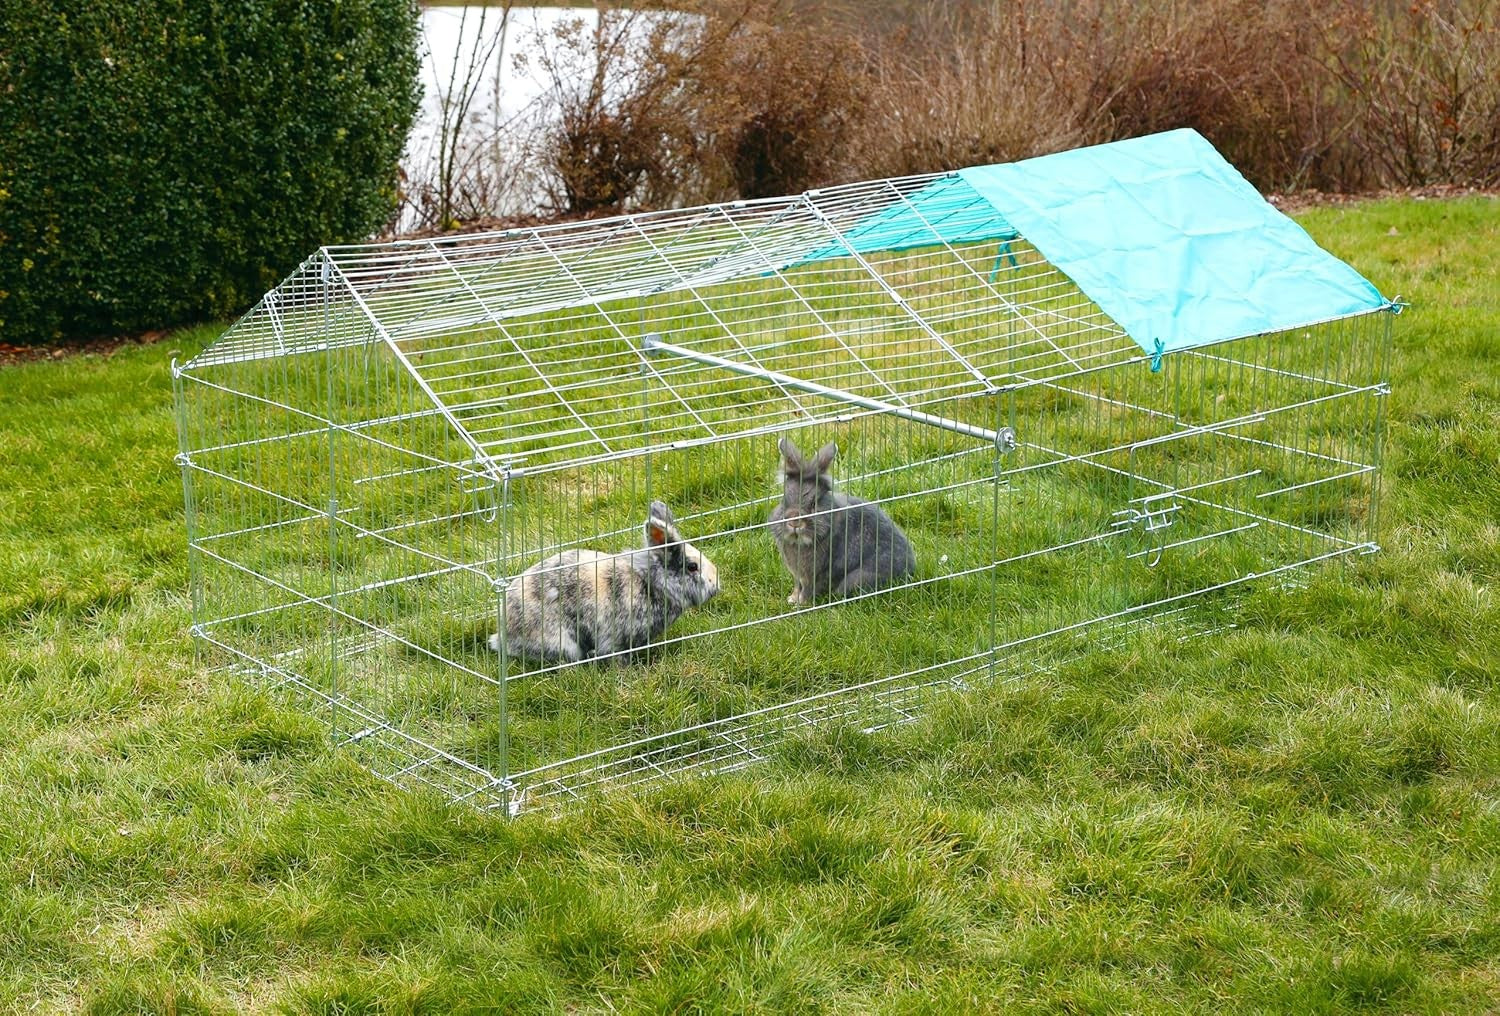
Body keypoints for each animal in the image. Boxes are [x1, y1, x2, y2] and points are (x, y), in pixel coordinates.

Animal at [491, 500, 719, 665]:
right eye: (692, 567)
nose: (716, 586)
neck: (651, 582)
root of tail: (504, 635)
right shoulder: (616, 638)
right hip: (562, 641)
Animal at [768, 437, 915, 604]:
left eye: (813, 504)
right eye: (784, 500)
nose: (794, 522)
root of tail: (910, 567)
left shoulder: (815, 575)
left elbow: (808, 590)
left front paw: (801, 604)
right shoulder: (798, 576)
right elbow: (797, 586)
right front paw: (792, 599)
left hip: (856, 579)